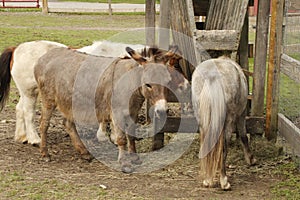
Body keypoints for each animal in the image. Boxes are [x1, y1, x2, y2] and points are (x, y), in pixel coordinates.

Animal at [0, 39, 145, 145]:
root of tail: (16, 49)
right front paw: (106, 136)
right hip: (29, 92)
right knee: (28, 112)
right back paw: (34, 139)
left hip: (27, 92)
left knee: (19, 109)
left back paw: (22, 136)